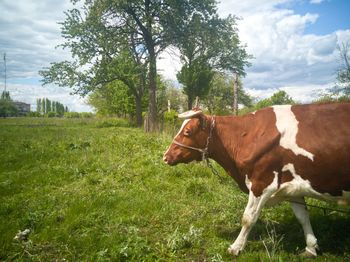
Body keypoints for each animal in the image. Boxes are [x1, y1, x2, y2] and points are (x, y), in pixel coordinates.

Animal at [163, 103, 350, 256]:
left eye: (187, 131)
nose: (165, 156)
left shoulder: (262, 182)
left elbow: (248, 218)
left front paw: (235, 247)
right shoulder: (293, 186)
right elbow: (302, 216)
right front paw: (311, 248)